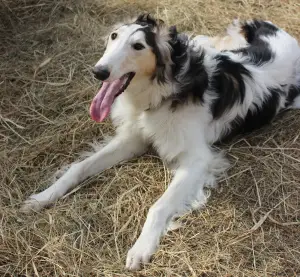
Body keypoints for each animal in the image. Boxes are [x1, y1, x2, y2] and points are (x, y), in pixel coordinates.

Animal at [21, 14, 300, 268]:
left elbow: (158, 206)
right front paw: (43, 197)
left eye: (138, 46)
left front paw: (141, 247)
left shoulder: (199, 159)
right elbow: (78, 168)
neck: (167, 85)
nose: (98, 72)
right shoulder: (134, 139)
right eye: (114, 36)